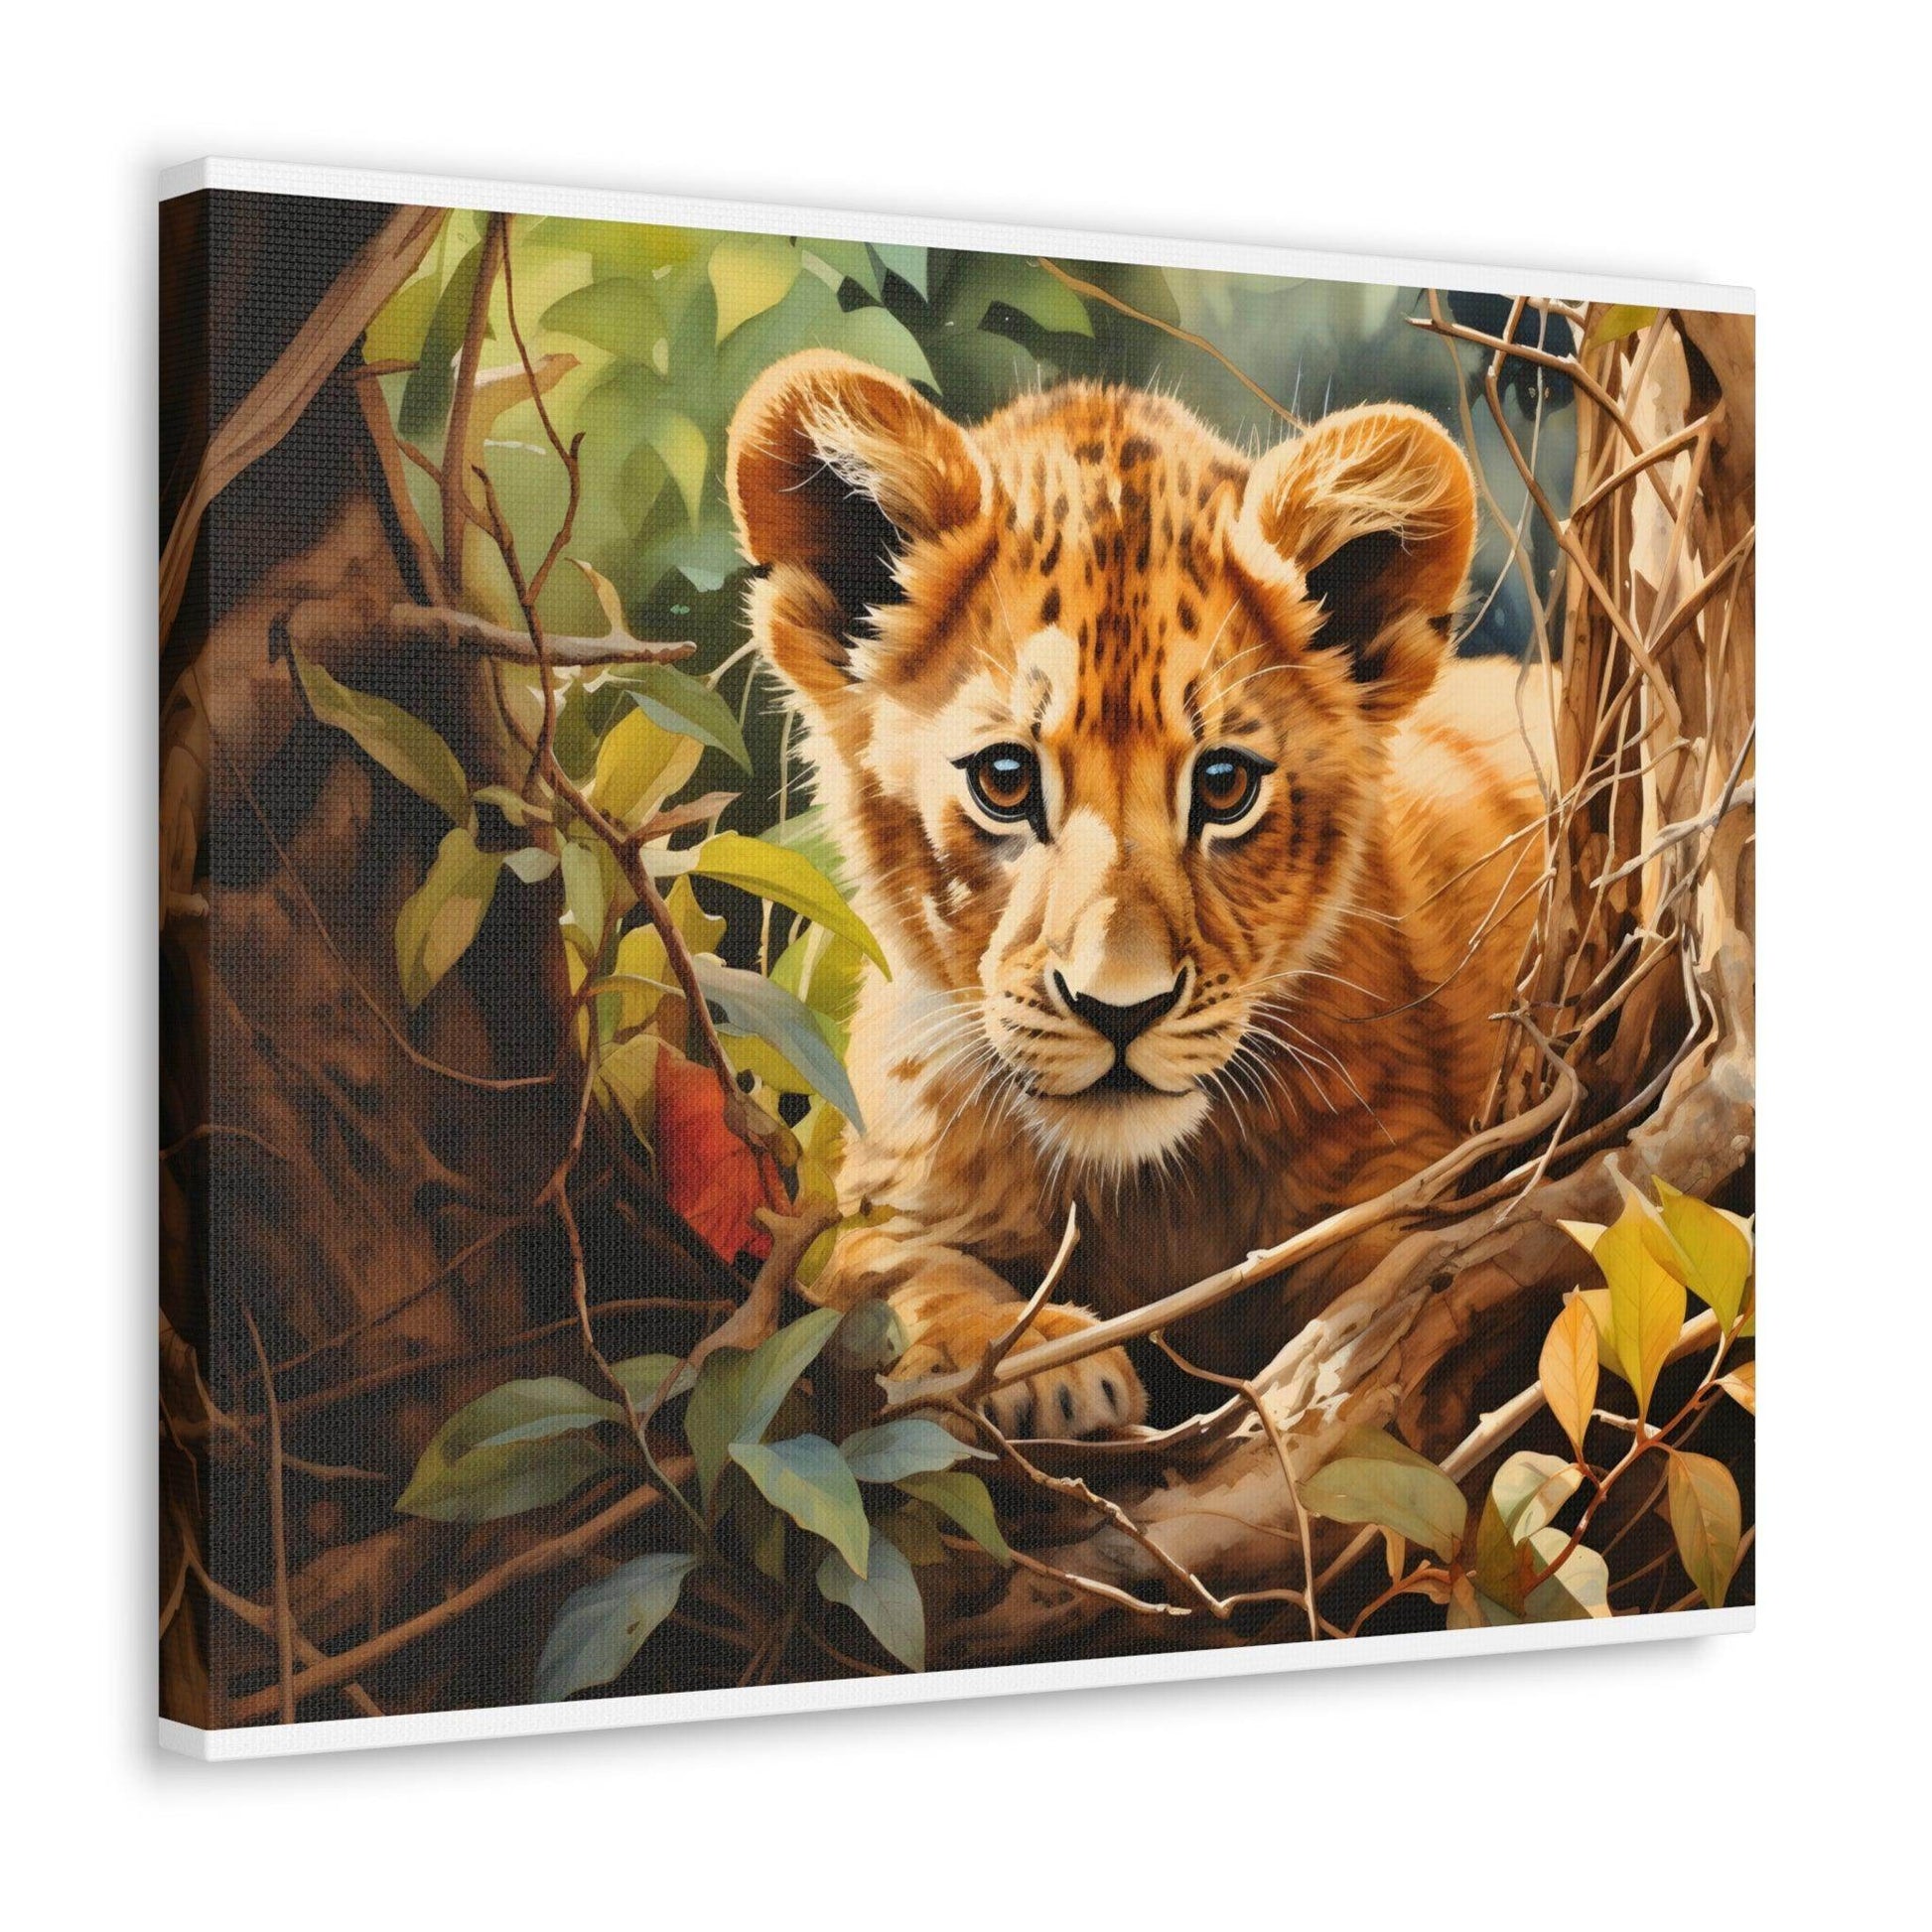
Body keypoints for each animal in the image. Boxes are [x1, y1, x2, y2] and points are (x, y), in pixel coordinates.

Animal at [725, 350, 1552, 1436]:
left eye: (1224, 784)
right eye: (1003, 778)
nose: (1121, 1008)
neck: (1142, 1194)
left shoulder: (1403, 1175)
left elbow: (1415, 1284)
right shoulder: (878, 1191)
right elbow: (879, 1265)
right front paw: (1030, 1358)